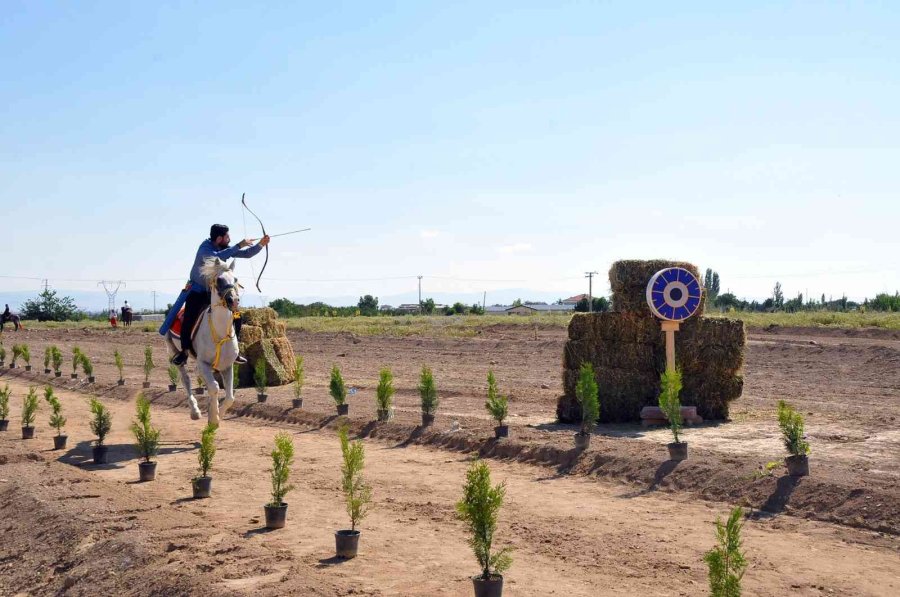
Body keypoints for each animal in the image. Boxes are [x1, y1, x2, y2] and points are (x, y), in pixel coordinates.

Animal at [165, 258, 241, 426]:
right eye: (219, 280)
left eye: (236, 279)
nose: (233, 300)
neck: (219, 332)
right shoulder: (203, 363)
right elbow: (214, 387)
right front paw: (213, 417)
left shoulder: (227, 366)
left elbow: (230, 397)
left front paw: (218, 414)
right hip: (174, 351)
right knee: (186, 380)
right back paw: (195, 411)